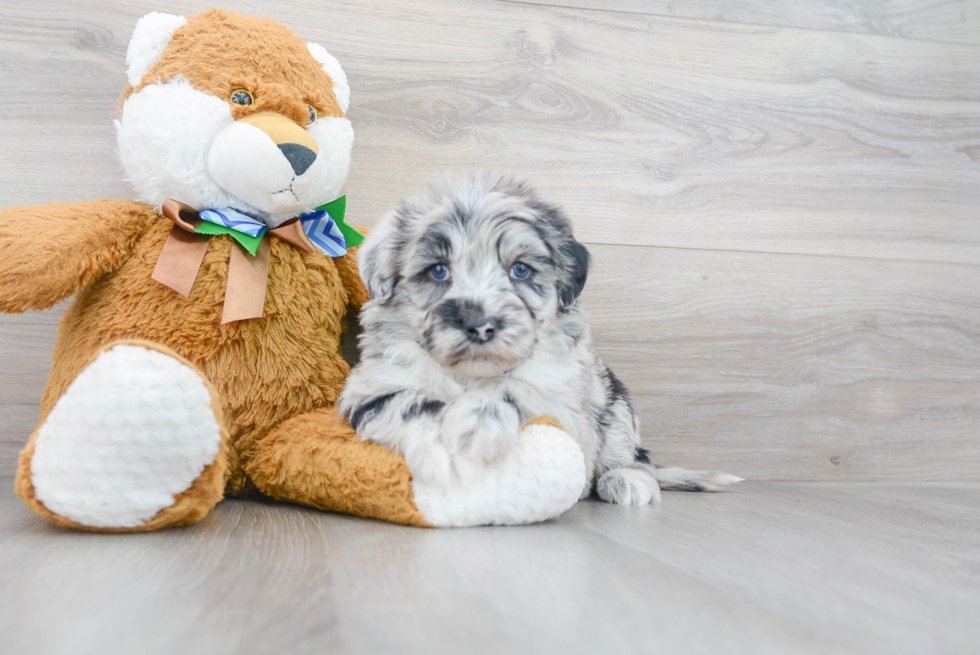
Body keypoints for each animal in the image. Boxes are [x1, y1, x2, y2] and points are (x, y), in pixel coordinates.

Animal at [340, 173, 740, 502]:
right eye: (438, 271)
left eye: (520, 269)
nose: (480, 324)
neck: (470, 375)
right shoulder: (371, 386)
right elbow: (411, 401)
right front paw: (446, 446)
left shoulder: (567, 408)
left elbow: (515, 387)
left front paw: (479, 416)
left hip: (617, 406)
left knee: (634, 457)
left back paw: (626, 480)